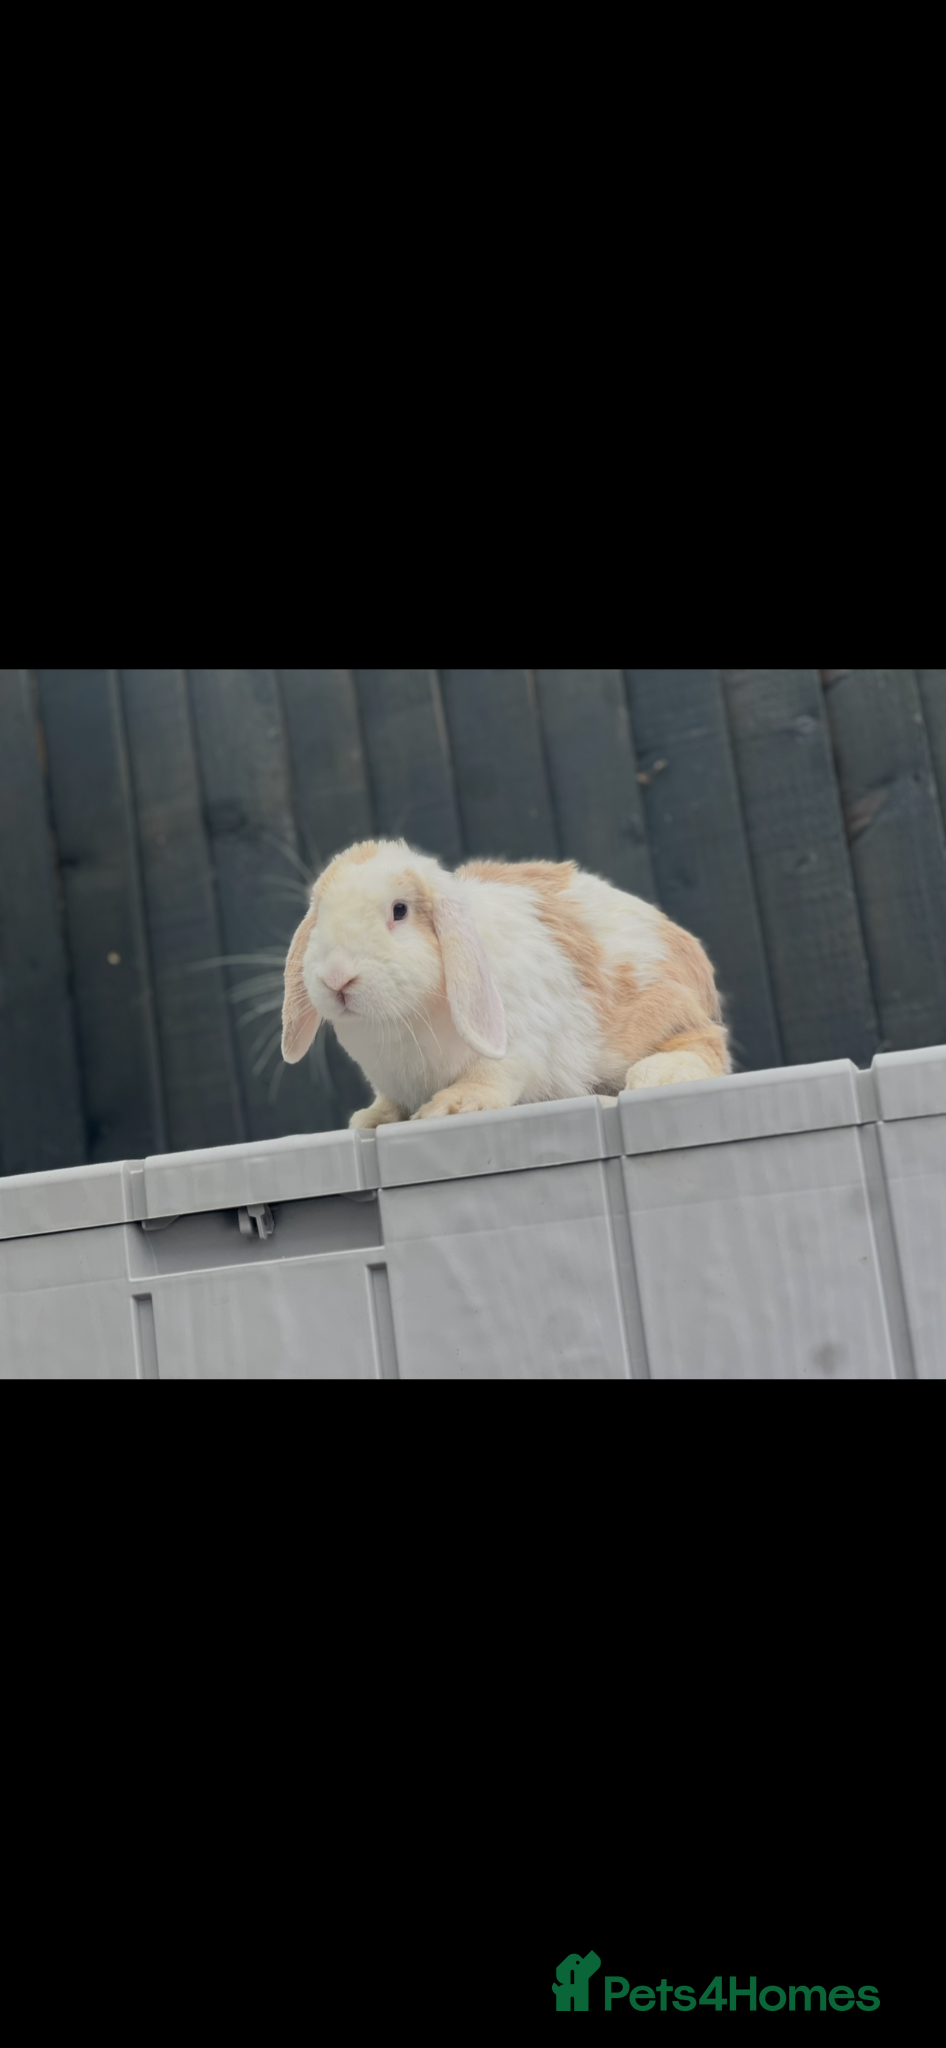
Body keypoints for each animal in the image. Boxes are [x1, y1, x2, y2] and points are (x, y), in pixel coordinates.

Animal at [282, 839, 731, 1127]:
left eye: (399, 910)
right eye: (319, 914)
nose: (337, 978)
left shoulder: (519, 1044)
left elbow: (493, 1076)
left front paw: (453, 1106)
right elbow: (389, 1102)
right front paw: (370, 1119)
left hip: (664, 1011)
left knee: (708, 1048)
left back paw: (659, 1074)